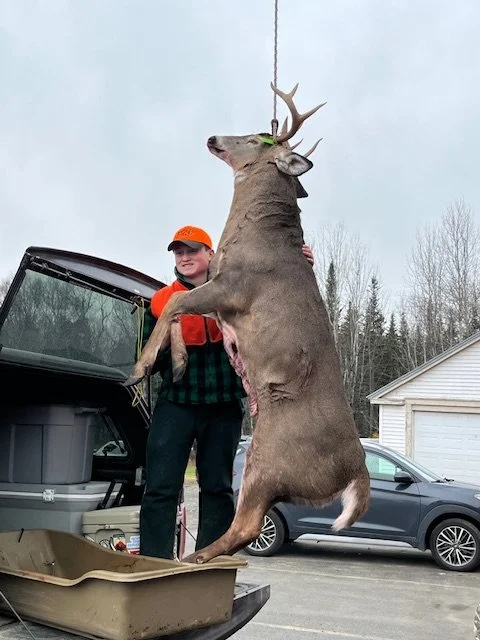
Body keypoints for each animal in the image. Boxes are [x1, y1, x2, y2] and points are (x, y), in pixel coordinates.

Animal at [124, 83, 370, 564]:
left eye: (258, 136)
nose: (213, 137)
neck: (255, 233)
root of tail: (357, 471)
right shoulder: (218, 301)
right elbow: (178, 308)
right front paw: (178, 363)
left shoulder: (234, 289)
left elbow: (177, 300)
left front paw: (140, 369)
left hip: (268, 459)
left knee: (248, 523)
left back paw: (193, 557)